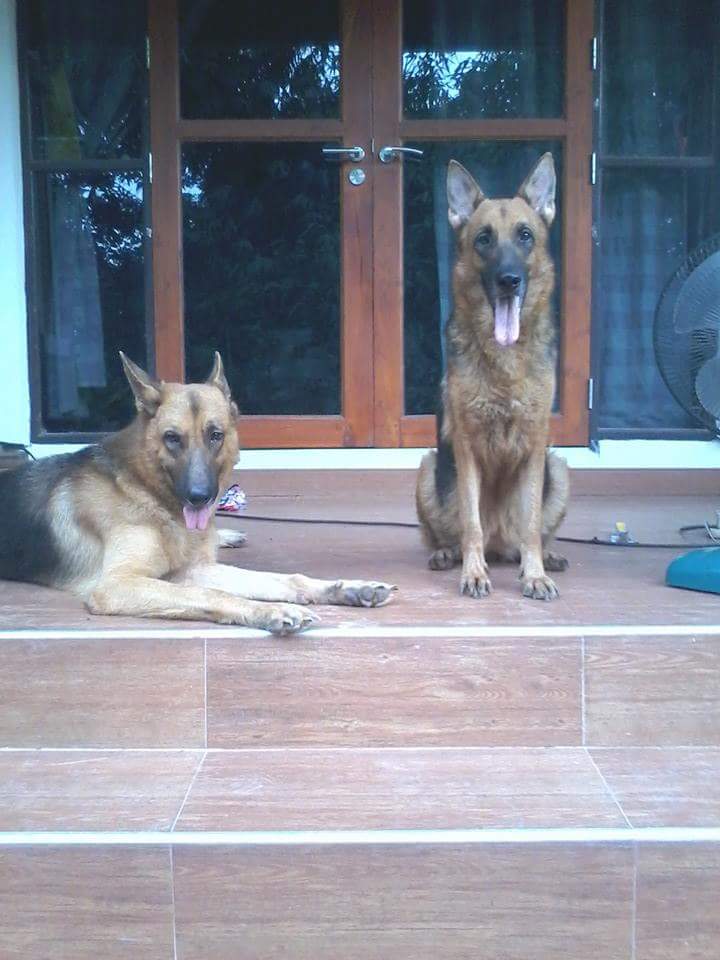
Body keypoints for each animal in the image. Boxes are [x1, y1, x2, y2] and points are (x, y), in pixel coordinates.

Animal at [0, 353, 395, 634]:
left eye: (215, 435)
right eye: (172, 438)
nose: (199, 497)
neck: (149, 493)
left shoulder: (192, 569)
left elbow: (283, 578)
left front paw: (345, 589)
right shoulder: (118, 584)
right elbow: (210, 594)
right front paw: (268, 610)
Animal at [416, 153, 569, 601]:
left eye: (525, 236)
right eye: (484, 239)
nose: (508, 280)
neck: (505, 363)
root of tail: (501, 545)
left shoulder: (536, 448)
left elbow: (532, 524)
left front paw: (535, 574)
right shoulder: (466, 449)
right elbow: (471, 524)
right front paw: (473, 573)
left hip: (560, 470)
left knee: (530, 535)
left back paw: (543, 557)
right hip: (427, 469)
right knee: (452, 534)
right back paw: (448, 554)